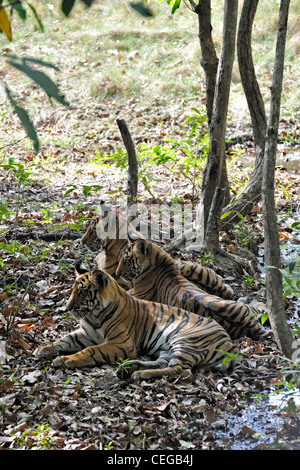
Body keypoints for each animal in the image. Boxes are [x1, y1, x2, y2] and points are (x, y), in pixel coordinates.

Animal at [32, 262, 239, 388]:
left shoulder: (121, 343)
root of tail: (232, 344)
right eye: (73, 291)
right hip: (168, 348)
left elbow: (91, 351)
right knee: (163, 363)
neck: (94, 315)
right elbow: (64, 340)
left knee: (183, 371)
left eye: (82, 293)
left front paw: (66, 360)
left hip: (186, 341)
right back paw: (132, 368)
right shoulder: (86, 335)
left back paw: (139, 373)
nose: (67, 308)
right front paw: (43, 348)